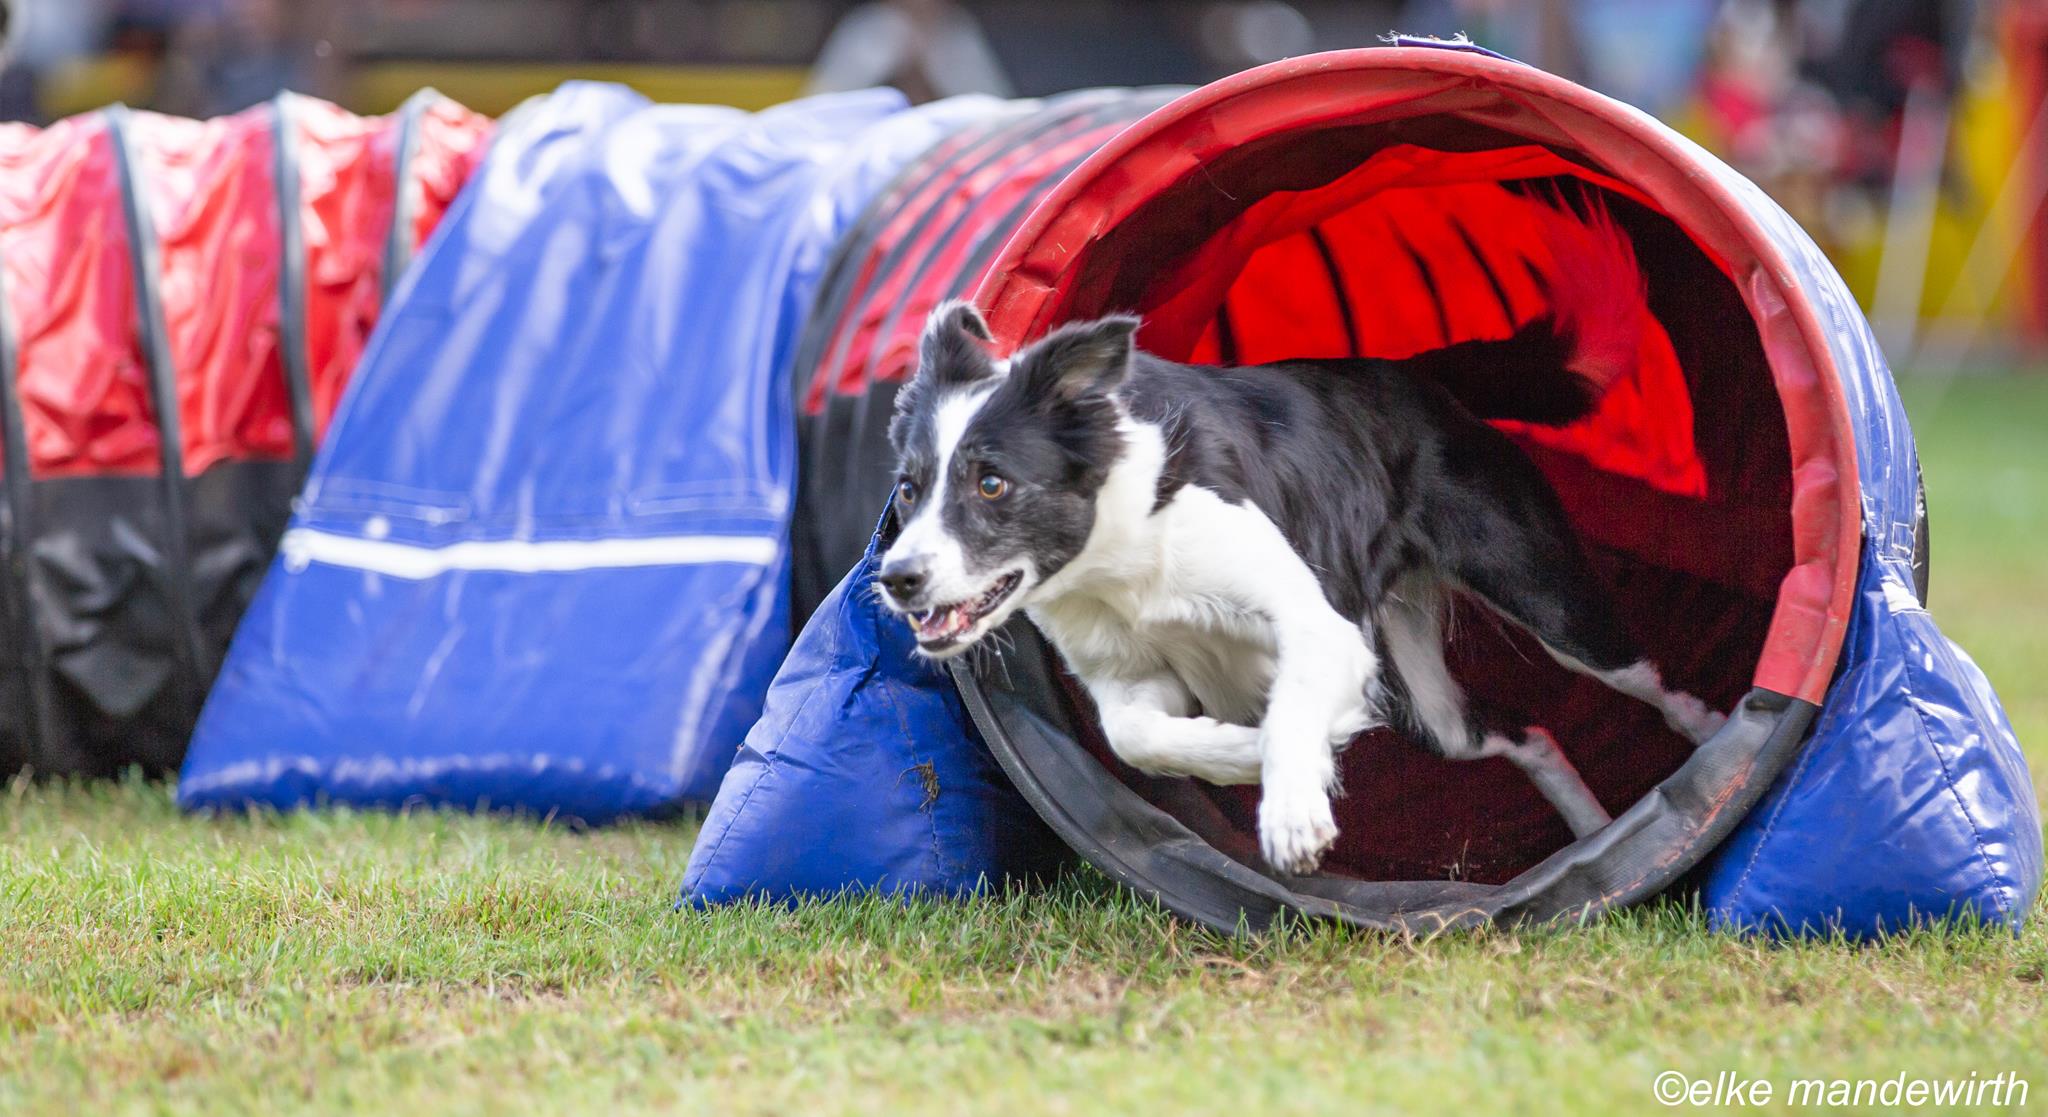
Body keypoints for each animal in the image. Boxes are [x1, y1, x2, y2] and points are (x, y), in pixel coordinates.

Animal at [873, 205, 1726, 876]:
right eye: (909, 489)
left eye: (991, 483)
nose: (896, 578)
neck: (1120, 546)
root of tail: (1415, 377)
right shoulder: (1131, 673)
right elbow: (1136, 735)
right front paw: (1244, 754)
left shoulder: (1320, 624)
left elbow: (1288, 710)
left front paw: (1292, 815)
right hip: (1426, 705)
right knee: (1528, 730)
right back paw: (1595, 837)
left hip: (1545, 599)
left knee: (1639, 674)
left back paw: (1712, 744)